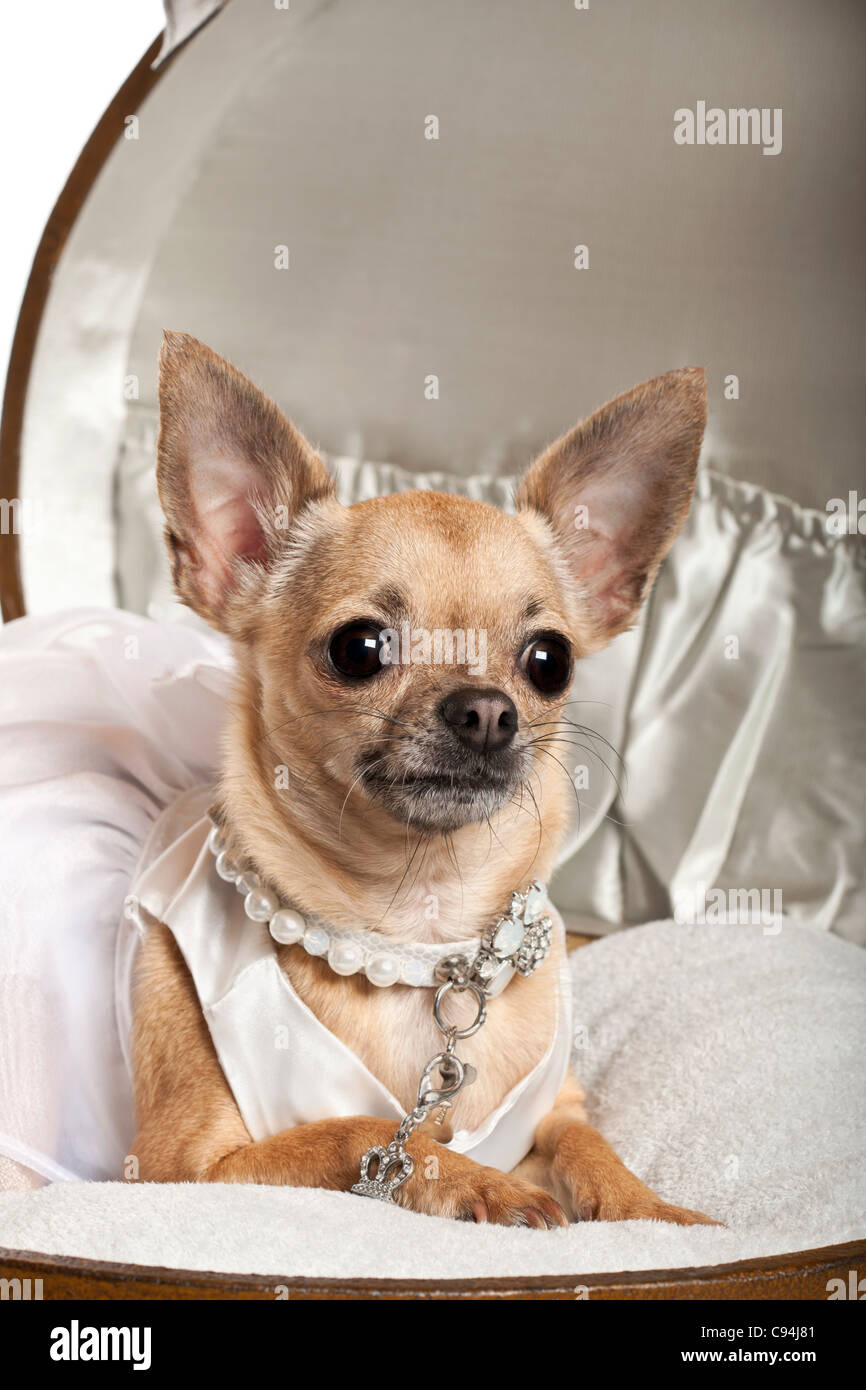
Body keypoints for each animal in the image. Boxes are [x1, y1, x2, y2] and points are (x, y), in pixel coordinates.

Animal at [127, 336, 711, 1228]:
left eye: (551, 660)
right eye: (359, 648)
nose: (488, 711)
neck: (419, 940)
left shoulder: (557, 1110)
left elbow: (592, 1145)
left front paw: (655, 1213)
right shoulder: (182, 1171)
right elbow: (362, 1128)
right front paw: (479, 1181)